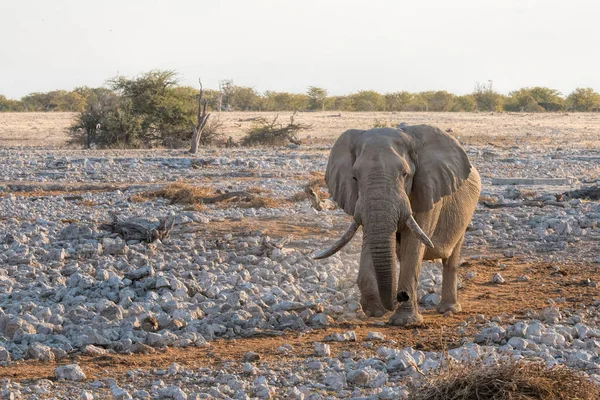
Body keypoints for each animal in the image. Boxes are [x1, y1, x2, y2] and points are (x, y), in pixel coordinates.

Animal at [316, 124, 480, 324]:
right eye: (354, 178)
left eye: (404, 174)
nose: (399, 296)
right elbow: (370, 242)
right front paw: (374, 311)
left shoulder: (427, 191)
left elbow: (413, 246)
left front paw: (404, 321)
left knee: (451, 258)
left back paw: (448, 309)